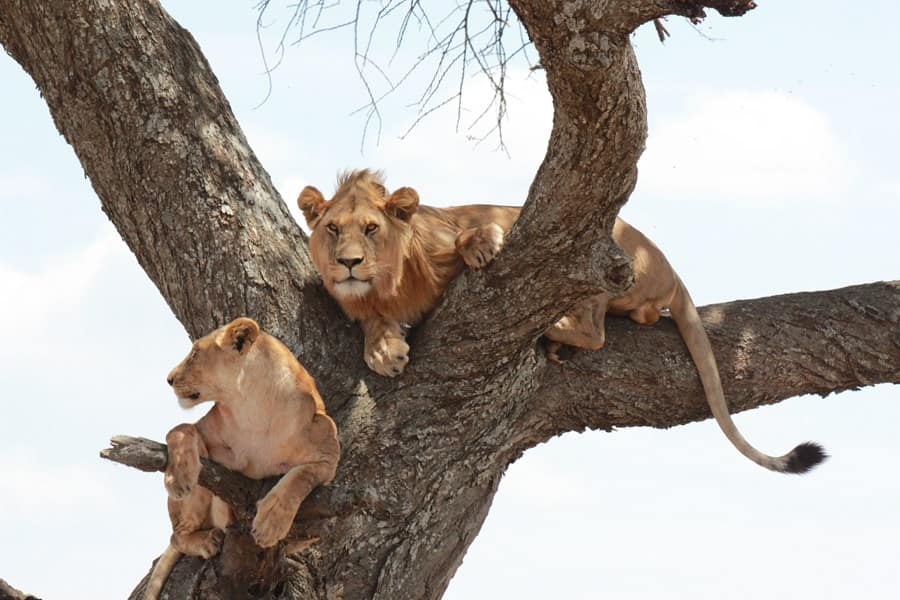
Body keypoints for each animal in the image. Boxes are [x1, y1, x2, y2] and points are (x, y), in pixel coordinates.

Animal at [143, 317, 340, 600]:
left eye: (195, 354)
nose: (168, 379)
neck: (252, 406)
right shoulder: (203, 432)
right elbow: (182, 428)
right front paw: (179, 477)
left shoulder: (328, 448)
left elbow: (300, 477)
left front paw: (270, 522)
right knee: (176, 536)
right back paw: (207, 539)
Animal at [297, 169, 825, 475]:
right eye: (332, 229)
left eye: (371, 228)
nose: (348, 263)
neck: (389, 283)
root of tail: (671, 269)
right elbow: (373, 324)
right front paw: (383, 349)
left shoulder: (462, 229)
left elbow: (472, 234)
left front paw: (480, 246)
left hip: (596, 257)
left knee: (596, 328)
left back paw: (548, 335)